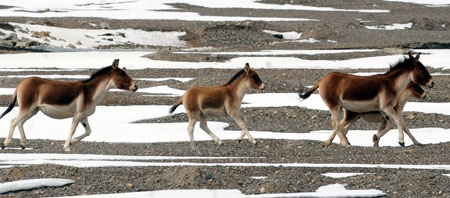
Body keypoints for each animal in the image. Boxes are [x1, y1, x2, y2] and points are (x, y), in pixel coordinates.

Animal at [0, 59, 137, 152]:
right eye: (121, 74)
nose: (135, 86)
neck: (90, 91)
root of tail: (21, 83)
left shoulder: (83, 116)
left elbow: (88, 131)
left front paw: (72, 142)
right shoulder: (78, 114)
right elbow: (72, 129)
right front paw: (67, 147)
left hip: (33, 110)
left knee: (20, 123)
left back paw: (23, 144)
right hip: (26, 108)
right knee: (13, 121)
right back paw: (5, 144)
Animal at [298, 52, 432, 147]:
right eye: (421, 69)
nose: (432, 83)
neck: (391, 84)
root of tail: (322, 80)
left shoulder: (383, 110)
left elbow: (392, 123)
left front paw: (376, 138)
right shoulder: (386, 107)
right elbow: (398, 120)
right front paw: (401, 141)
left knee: (337, 124)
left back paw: (331, 142)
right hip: (335, 106)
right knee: (336, 123)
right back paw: (345, 143)